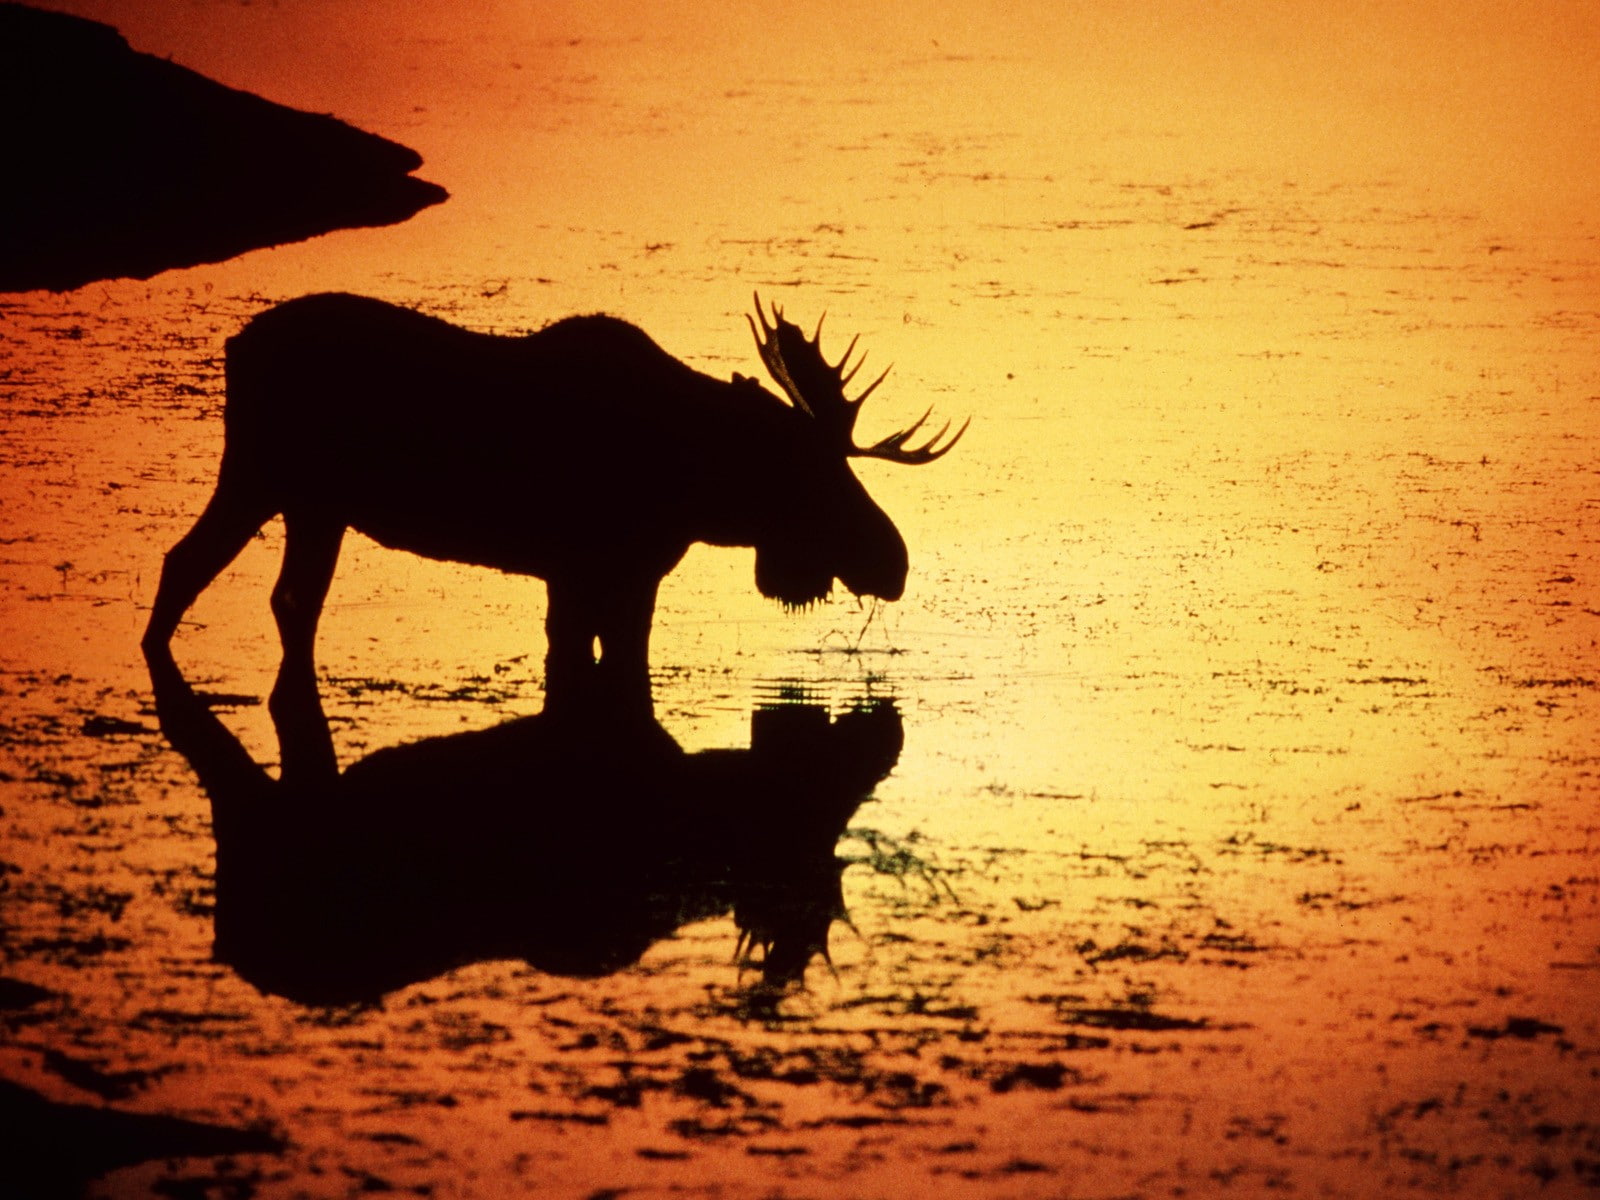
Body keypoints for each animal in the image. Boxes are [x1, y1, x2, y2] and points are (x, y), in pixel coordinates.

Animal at [141, 292, 964, 707]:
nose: (894, 562)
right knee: (187, 563)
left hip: (315, 506)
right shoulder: (590, 569)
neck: (698, 482)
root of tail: (235, 347)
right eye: (819, 473)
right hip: (260, 476)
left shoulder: (611, 576)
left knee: (285, 598)